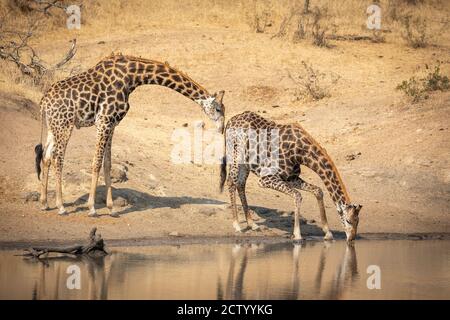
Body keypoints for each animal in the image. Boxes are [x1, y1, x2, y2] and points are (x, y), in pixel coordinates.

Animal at [34, 53, 225, 218]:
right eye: (218, 109)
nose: (222, 128)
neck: (132, 77)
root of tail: (43, 103)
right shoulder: (103, 121)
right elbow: (96, 162)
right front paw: (92, 208)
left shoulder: (112, 124)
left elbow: (108, 164)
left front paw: (111, 208)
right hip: (65, 125)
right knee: (58, 157)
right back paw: (61, 206)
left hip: (53, 126)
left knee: (46, 156)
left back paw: (44, 203)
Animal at [219, 111, 362, 241]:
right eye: (348, 221)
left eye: (358, 221)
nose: (351, 239)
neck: (300, 152)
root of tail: (230, 121)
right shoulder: (265, 179)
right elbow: (298, 195)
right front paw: (298, 235)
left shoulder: (290, 177)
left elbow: (318, 190)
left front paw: (327, 232)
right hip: (235, 156)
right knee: (231, 182)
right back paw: (237, 225)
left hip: (246, 163)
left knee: (240, 184)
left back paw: (252, 224)